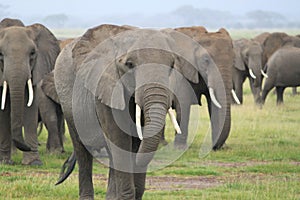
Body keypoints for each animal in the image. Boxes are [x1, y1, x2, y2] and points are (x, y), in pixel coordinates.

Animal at [0, 18, 60, 166]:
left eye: (32, 53)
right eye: (0, 55)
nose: (26, 147)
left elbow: (30, 106)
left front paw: (33, 162)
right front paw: (5, 162)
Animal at [54, 25, 227, 200]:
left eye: (172, 65)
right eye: (129, 64)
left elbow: (135, 142)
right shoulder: (105, 89)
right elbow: (120, 140)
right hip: (67, 100)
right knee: (82, 150)